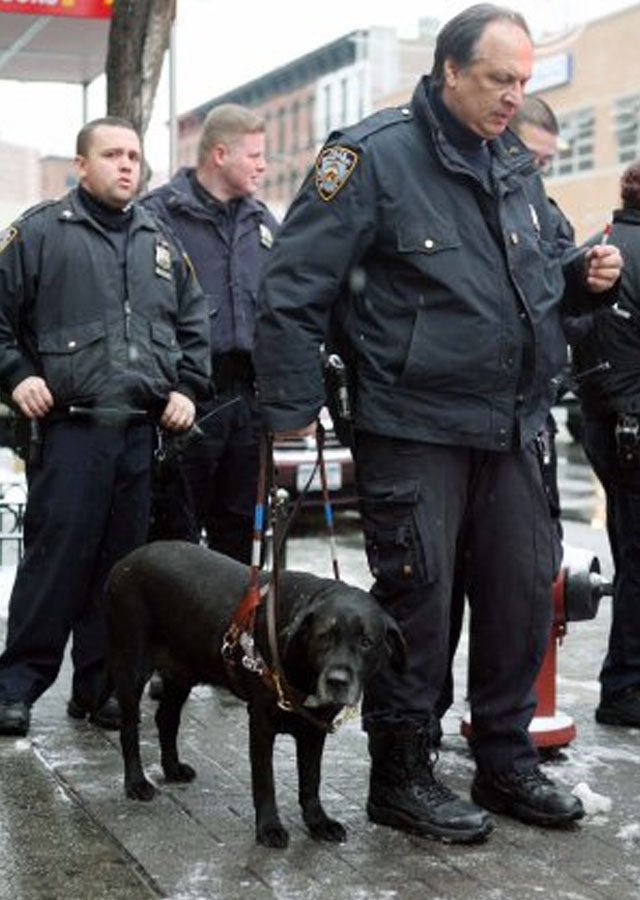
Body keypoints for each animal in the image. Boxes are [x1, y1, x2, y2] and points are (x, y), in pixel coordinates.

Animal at [104, 536, 404, 848]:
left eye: (366, 641)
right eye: (324, 637)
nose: (337, 680)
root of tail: (126, 560)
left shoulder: (314, 729)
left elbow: (311, 780)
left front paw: (318, 821)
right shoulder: (261, 724)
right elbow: (265, 780)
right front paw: (269, 827)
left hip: (181, 674)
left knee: (166, 718)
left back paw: (173, 768)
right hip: (131, 666)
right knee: (129, 727)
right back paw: (136, 783)